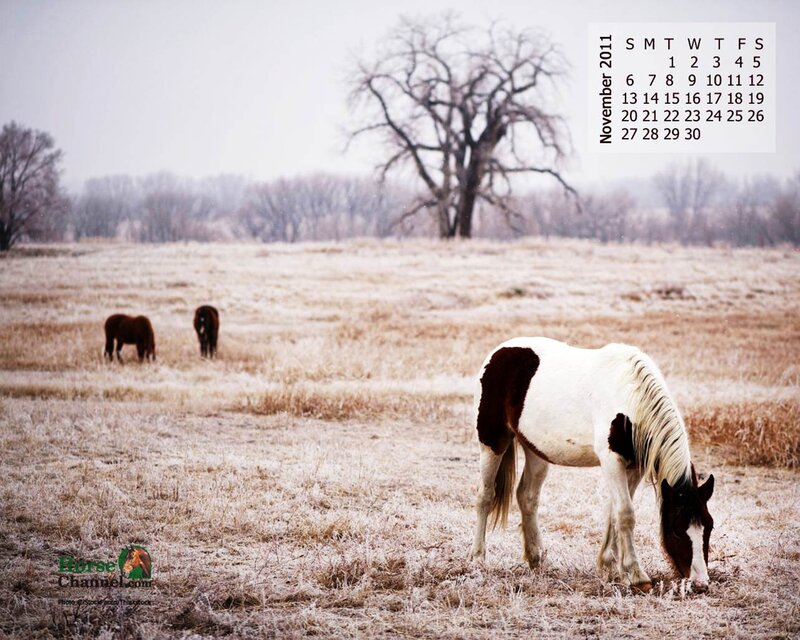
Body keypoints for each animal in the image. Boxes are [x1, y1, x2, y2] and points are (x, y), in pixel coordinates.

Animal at [470, 337, 715, 593]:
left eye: (709, 526)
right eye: (677, 529)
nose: (701, 583)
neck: (629, 397)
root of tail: (499, 352)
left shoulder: (634, 467)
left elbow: (614, 513)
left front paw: (610, 567)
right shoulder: (611, 461)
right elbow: (625, 513)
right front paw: (636, 575)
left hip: (536, 451)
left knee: (527, 497)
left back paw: (536, 558)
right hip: (492, 444)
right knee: (485, 496)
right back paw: (478, 558)